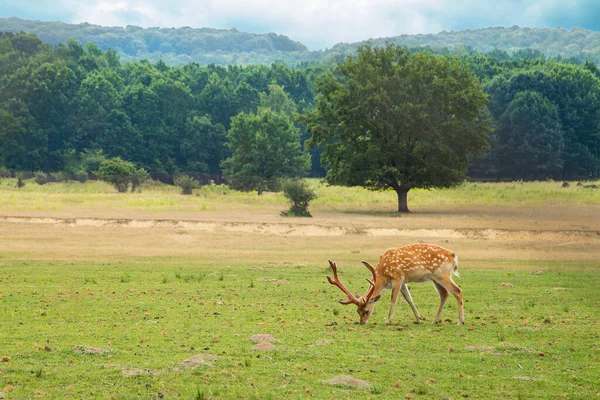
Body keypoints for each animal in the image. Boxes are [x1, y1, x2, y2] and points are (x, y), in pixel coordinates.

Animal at [328, 244, 464, 324]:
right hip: (435, 278)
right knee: (444, 294)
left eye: (366, 311)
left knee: (457, 291)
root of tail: (454, 256)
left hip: (442, 274)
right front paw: (419, 319)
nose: (362, 322)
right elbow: (409, 299)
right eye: (357, 311)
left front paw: (388, 320)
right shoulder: (403, 282)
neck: (382, 276)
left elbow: (393, 298)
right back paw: (435, 320)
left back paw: (460, 321)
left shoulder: (397, 277)